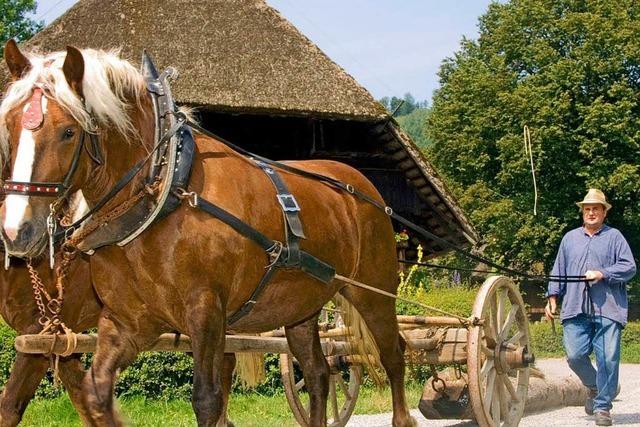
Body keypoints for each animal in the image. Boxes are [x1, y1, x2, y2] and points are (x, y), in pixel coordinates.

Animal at [0, 41, 416, 427]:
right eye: (10, 127)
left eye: (69, 132)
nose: (17, 231)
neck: (166, 190)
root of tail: (363, 186)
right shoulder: (125, 323)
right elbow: (94, 395)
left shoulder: (205, 311)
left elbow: (206, 399)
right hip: (301, 309)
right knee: (318, 372)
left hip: (375, 292)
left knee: (393, 355)